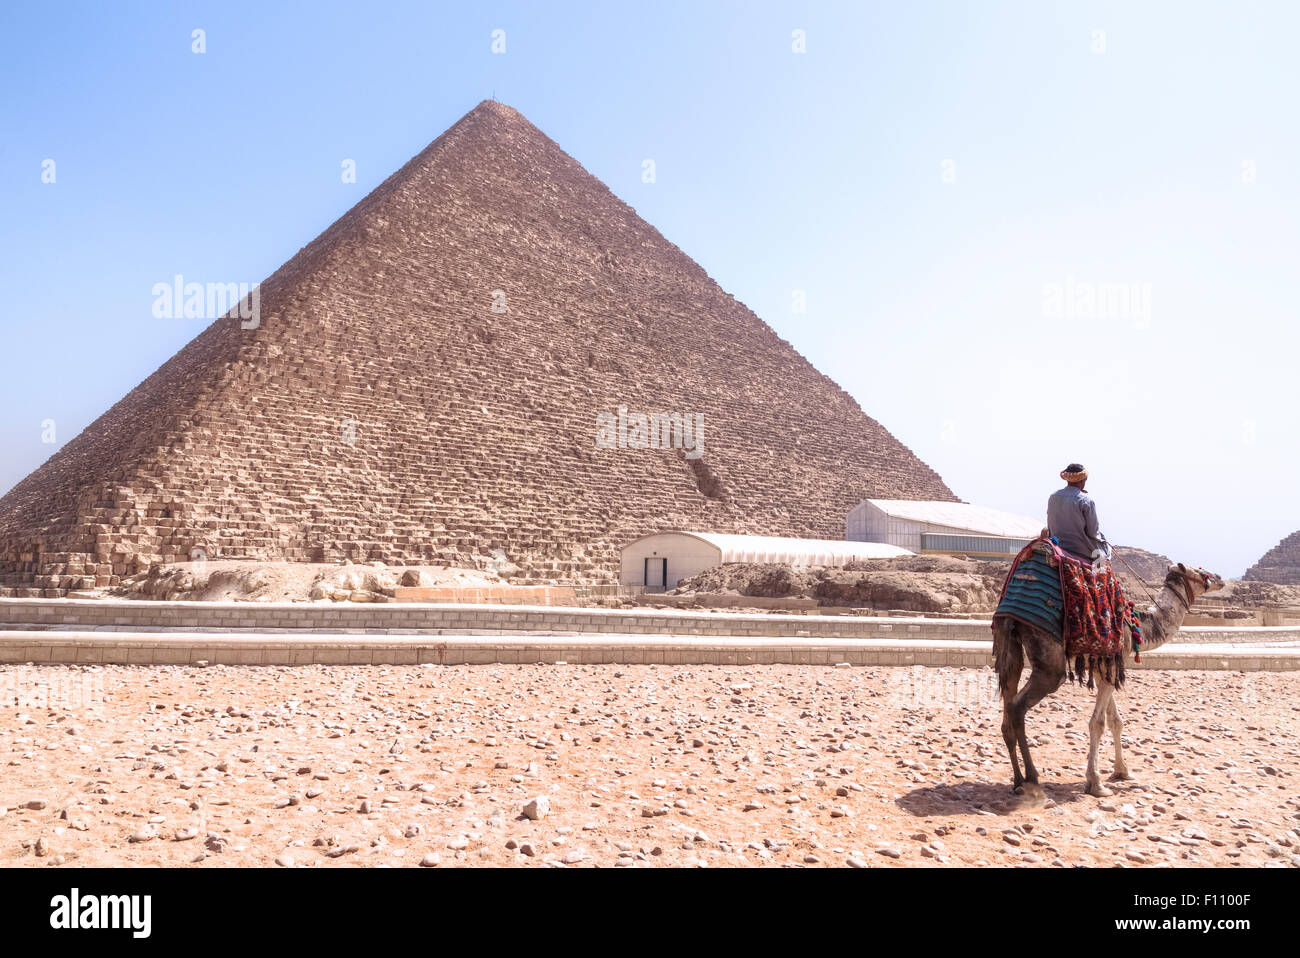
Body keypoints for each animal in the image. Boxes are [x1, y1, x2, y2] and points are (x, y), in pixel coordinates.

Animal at [987, 553, 1222, 790]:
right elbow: (1098, 723)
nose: (1220, 578)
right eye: (1201, 572)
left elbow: (1115, 721)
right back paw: (1032, 776)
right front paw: (1096, 783)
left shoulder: (1104, 668)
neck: (1136, 626)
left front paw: (1123, 771)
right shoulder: (1114, 661)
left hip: (1007, 644)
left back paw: (1018, 779)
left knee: (1008, 701)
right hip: (1048, 661)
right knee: (1018, 705)